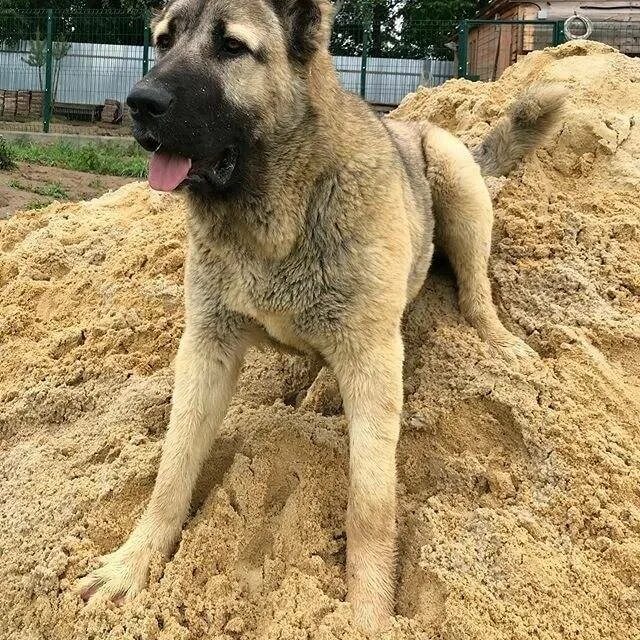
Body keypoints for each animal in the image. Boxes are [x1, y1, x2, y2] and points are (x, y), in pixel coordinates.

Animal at [76, 0, 564, 632]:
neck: (275, 214)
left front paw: (368, 614)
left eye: (232, 47)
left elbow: (371, 504)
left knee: (476, 290)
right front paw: (133, 562)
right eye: (163, 41)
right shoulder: (207, 346)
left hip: (455, 181)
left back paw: (499, 342)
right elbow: (173, 467)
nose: (140, 102)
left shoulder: (372, 358)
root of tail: (415, 126)